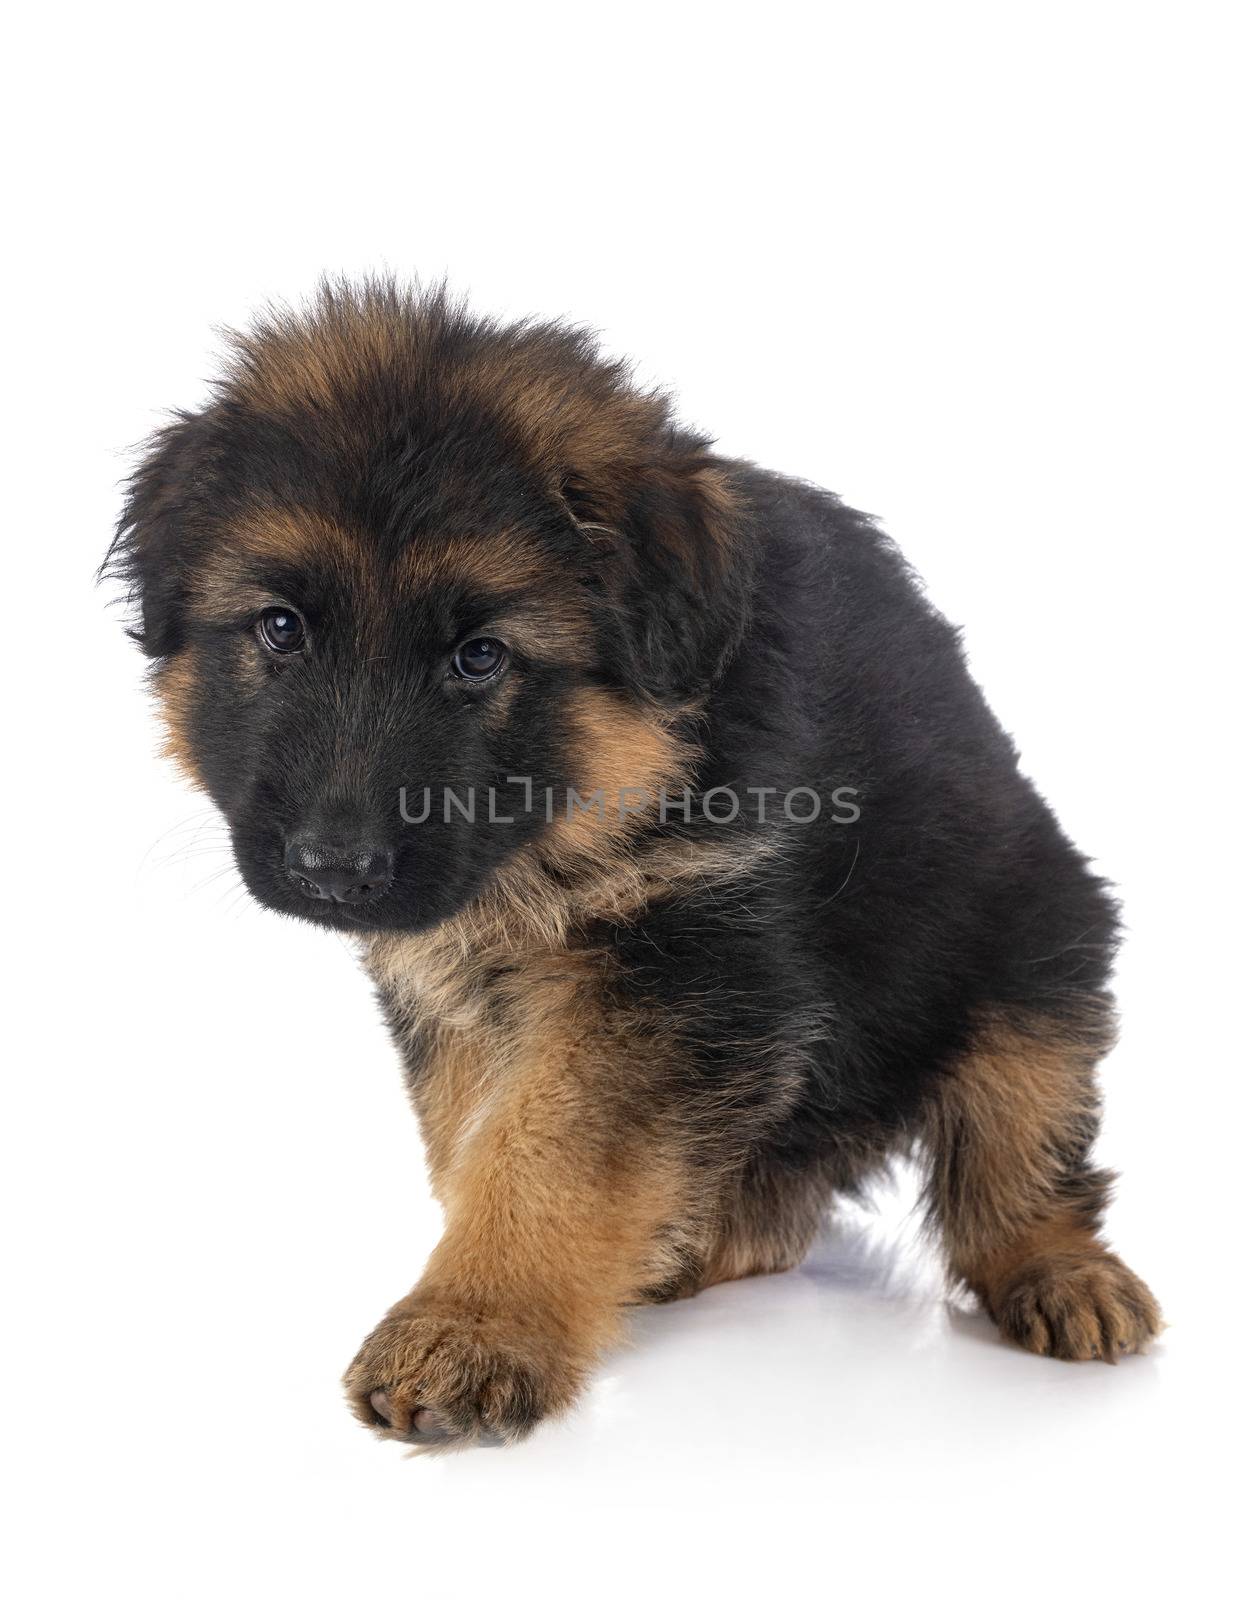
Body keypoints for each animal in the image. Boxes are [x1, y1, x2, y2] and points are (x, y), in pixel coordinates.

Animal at [110, 281, 1165, 1446]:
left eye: (480, 655)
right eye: (281, 628)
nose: (333, 869)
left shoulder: (671, 971)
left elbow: (548, 1154)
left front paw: (474, 1322)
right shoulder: (459, 989)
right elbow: (474, 1139)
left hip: (1039, 945)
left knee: (1020, 1153)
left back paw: (1064, 1273)